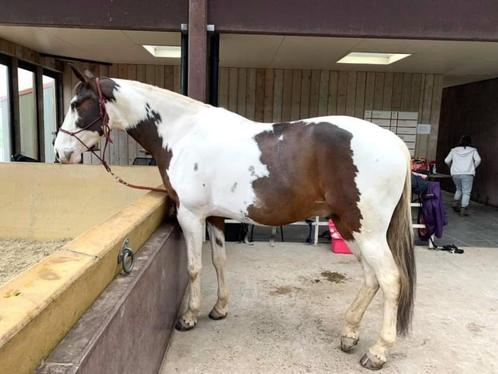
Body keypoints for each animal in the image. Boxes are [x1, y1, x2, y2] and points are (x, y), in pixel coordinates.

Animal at [55, 68, 416, 372]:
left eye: (77, 104)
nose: (60, 152)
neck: (183, 134)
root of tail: (395, 142)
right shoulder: (214, 217)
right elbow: (219, 261)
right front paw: (219, 309)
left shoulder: (190, 216)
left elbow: (194, 267)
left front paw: (189, 317)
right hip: (349, 226)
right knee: (370, 279)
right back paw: (349, 333)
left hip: (366, 230)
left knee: (389, 279)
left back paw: (378, 352)